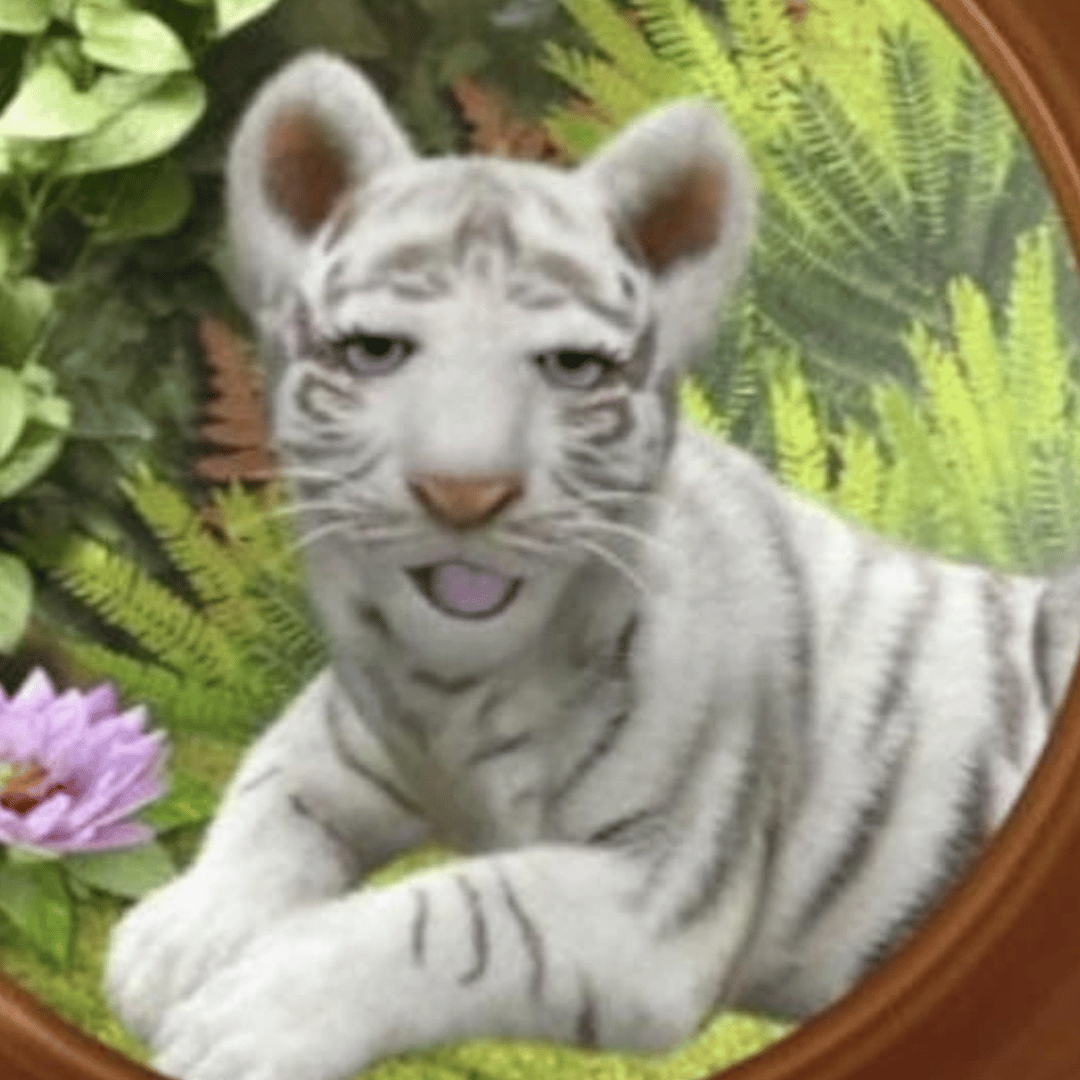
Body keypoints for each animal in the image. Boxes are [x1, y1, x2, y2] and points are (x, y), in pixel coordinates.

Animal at [104, 51, 1080, 1080]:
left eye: (571, 369)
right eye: (375, 352)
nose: (465, 493)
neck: (447, 690)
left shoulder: (653, 901)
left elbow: (463, 915)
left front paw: (244, 1013)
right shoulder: (350, 727)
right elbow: (272, 787)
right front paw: (177, 935)